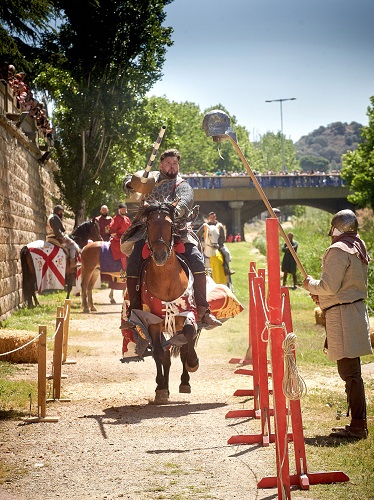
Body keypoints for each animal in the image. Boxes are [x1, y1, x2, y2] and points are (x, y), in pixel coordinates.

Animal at [127, 201, 200, 404]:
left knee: (183, 346)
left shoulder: (188, 313)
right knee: (165, 355)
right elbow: (159, 353)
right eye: (149, 224)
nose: (160, 254)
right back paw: (164, 387)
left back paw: (185, 381)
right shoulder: (152, 320)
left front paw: (193, 363)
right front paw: (160, 387)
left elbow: (188, 338)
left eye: (170, 224)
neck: (166, 279)